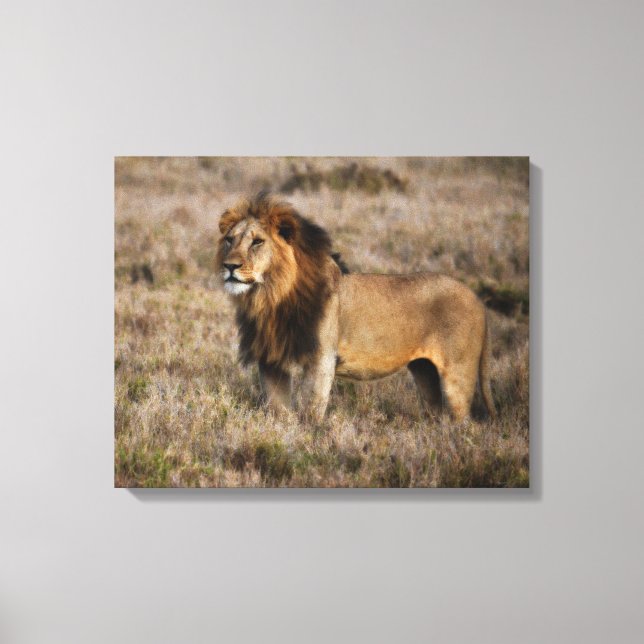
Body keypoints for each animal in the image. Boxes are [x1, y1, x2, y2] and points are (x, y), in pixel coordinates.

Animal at [216, 192, 495, 423]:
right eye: (229, 240)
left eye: (257, 242)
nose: (229, 266)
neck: (270, 296)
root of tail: (478, 300)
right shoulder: (271, 359)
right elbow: (277, 409)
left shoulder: (321, 358)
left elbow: (311, 409)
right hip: (424, 370)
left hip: (457, 374)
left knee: (463, 421)